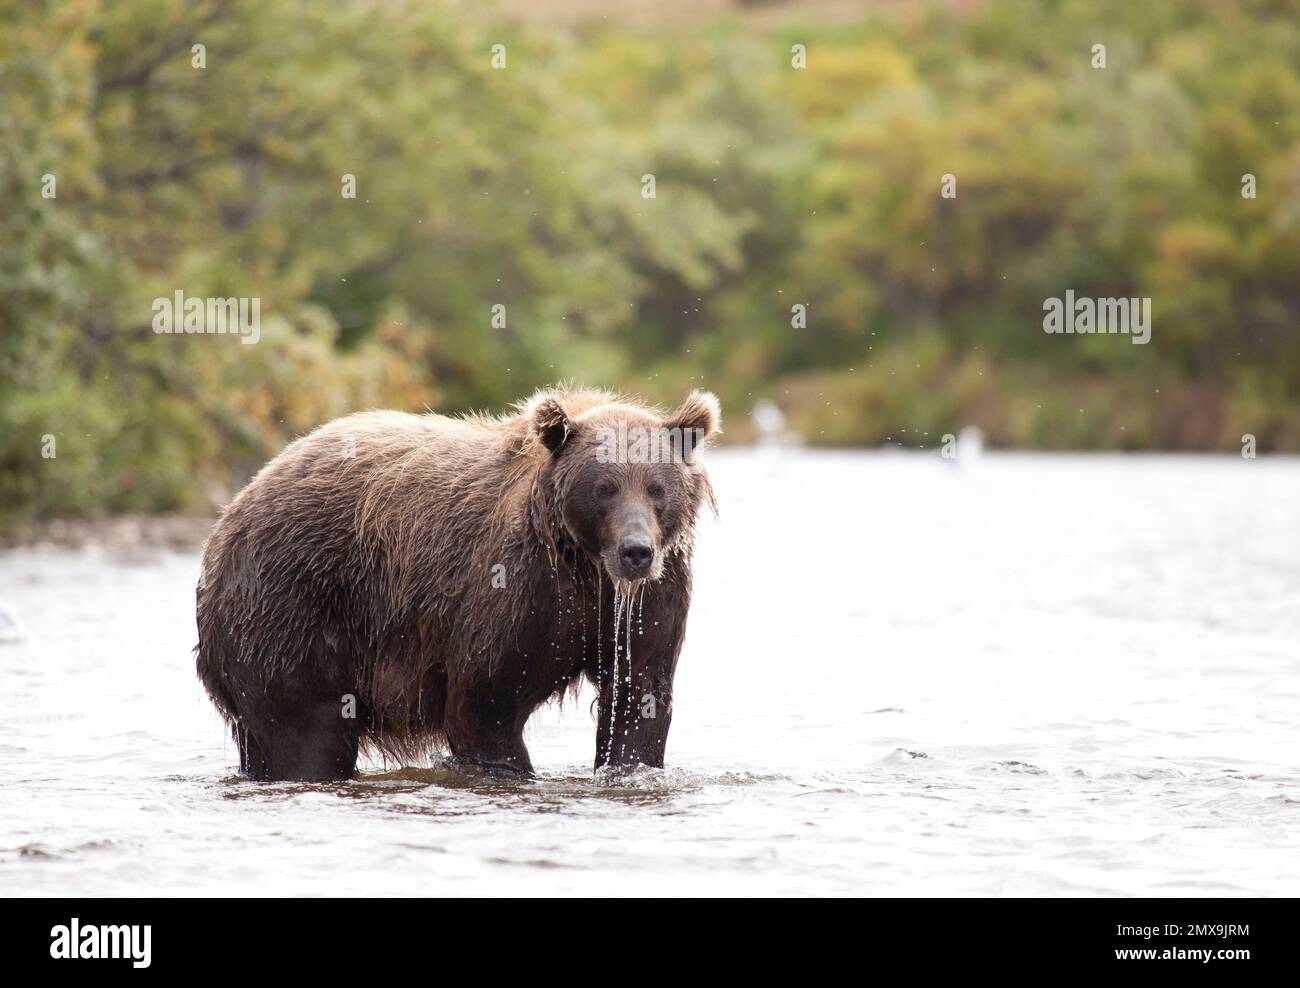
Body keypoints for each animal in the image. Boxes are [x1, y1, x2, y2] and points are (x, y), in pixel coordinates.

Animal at [195, 387, 720, 781]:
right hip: (290, 606)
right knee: (307, 731)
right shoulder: (514, 587)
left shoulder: (646, 601)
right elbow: (485, 698)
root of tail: (229, 516)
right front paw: (508, 767)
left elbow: (638, 697)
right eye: (604, 487)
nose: (636, 551)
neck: (584, 565)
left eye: (657, 487)